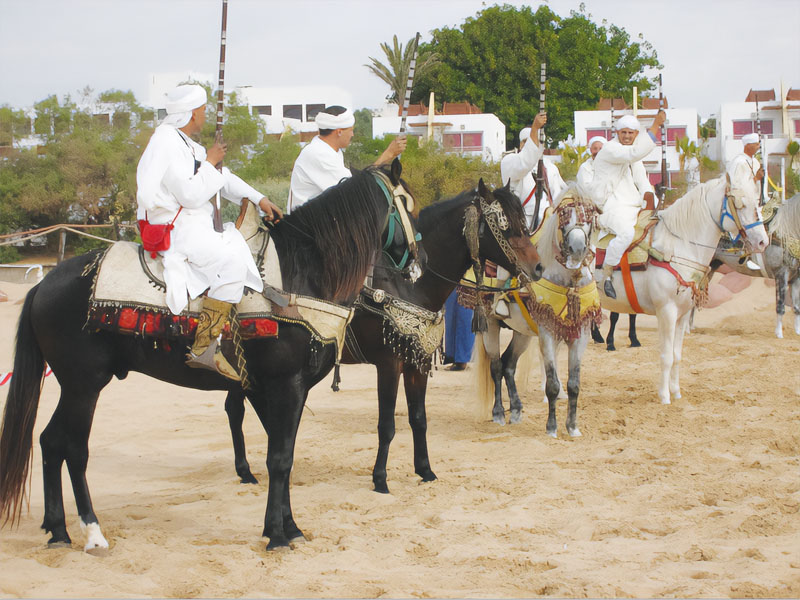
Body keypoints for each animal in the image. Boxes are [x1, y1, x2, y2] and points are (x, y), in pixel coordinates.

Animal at [0, 161, 422, 552]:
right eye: (406, 204)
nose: (419, 262)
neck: (300, 275)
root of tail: (44, 284)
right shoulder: (284, 385)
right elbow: (279, 459)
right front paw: (276, 535)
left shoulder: (290, 390)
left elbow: (283, 453)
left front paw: (288, 527)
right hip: (84, 385)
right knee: (73, 448)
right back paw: (92, 532)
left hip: (73, 386)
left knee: (50, 441)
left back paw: (57, 529)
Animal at [223, 180, 544, 494]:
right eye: (504, 225)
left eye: (523, 221)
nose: (538, 267)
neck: (408, 284)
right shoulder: (389, 364)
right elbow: (387, 424)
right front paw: (380, 479)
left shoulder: (417, 363)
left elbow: (418, 418)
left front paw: (425, 470)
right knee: (236, 409)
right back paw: (245, 470)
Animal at [476, 188, 600, 436]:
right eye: (563, 216)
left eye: (589, 216)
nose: (577, 250)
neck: (568, 281)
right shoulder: (547, 334)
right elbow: (552, 384)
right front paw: (552, 427)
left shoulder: (580, 334)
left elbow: (574, 384)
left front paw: (572, 427)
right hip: (490, 326)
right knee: (496, 366)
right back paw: (498, 413)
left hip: (522, 333)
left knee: (509, 364)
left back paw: (516, 410)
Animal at [600, 176, 768, 406]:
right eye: (740, 204)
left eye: (758, 201)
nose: (763, 241)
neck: (676, 248)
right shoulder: (667, 312)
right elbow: (666, 356)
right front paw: (664, 396)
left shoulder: (682, 315)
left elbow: (677, 355)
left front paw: (676, 391)